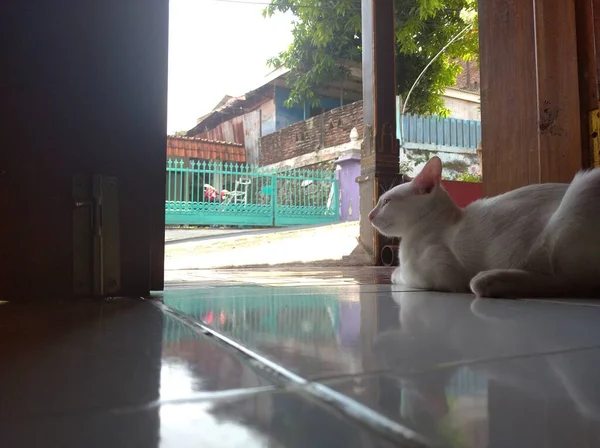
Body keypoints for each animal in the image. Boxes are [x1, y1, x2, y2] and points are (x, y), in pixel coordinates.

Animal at [368, 156, 600, 300]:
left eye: (386, 202)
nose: (370, 215)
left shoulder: (440, 272)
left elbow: (401, 273)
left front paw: (394, 273)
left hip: (582, 189)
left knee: (571, 282)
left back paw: (489, 281)